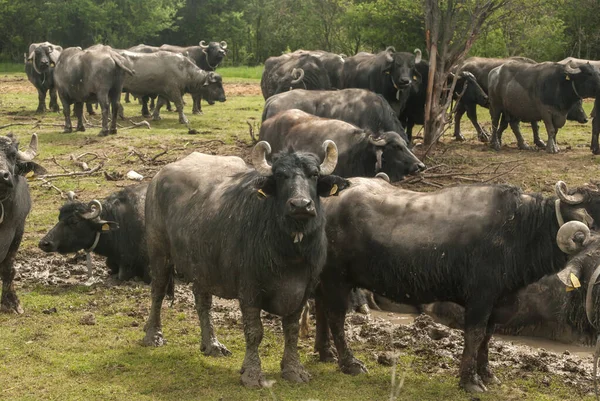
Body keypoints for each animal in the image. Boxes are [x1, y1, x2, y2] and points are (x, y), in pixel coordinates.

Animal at [143, 139, 350, 386]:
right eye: (280, 176)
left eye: (315, 174)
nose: (300, 205)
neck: (289, 252)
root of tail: (157, 178)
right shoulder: (249, 288)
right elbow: (254, 331)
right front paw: (252, 374)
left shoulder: (304, 288)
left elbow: (291, 330)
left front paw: (294, 370)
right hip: (158, 251)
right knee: (157, 291)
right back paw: (153, 336)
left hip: (202, 264)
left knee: (203, 301)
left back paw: (212, 345)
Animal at [314, 177, 600, 390]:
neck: (519, 229)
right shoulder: (480, 299)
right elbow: (474, 335)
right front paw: (469, 381)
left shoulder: (497, 302)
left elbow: (487, 337)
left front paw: (487, 374)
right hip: (338, 279)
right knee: (336, 316)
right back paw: (349, 363)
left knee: (320, 308)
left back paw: (325, 353)